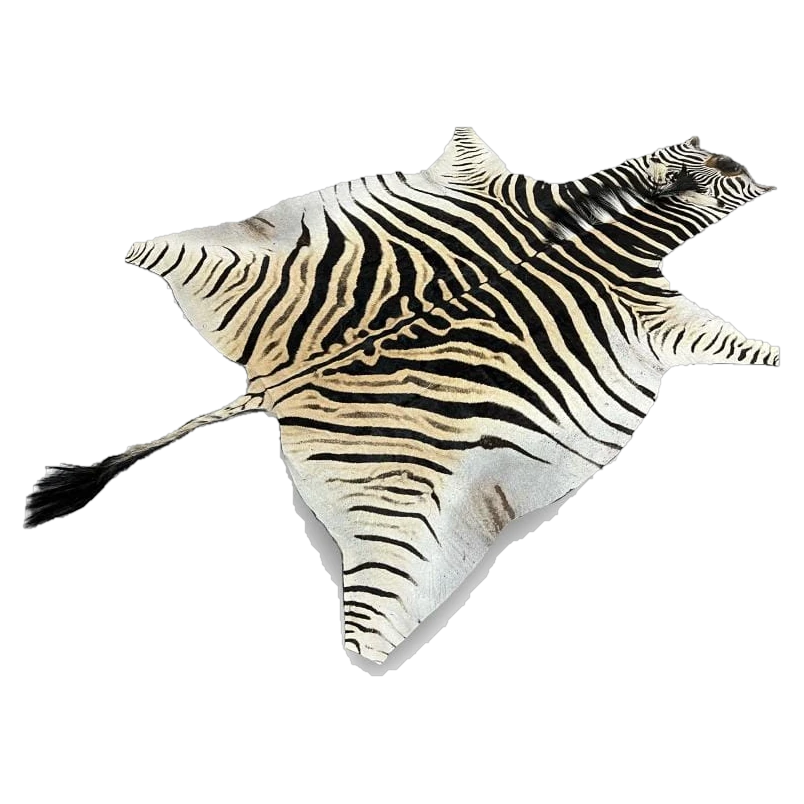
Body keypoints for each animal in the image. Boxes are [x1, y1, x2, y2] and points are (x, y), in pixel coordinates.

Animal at [23, 127, 781, 664]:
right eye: (722, 171)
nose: (748, 164)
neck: (609, 214)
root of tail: (276, 382)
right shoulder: (657, 311)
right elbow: (738, 344)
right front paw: (772, 354)